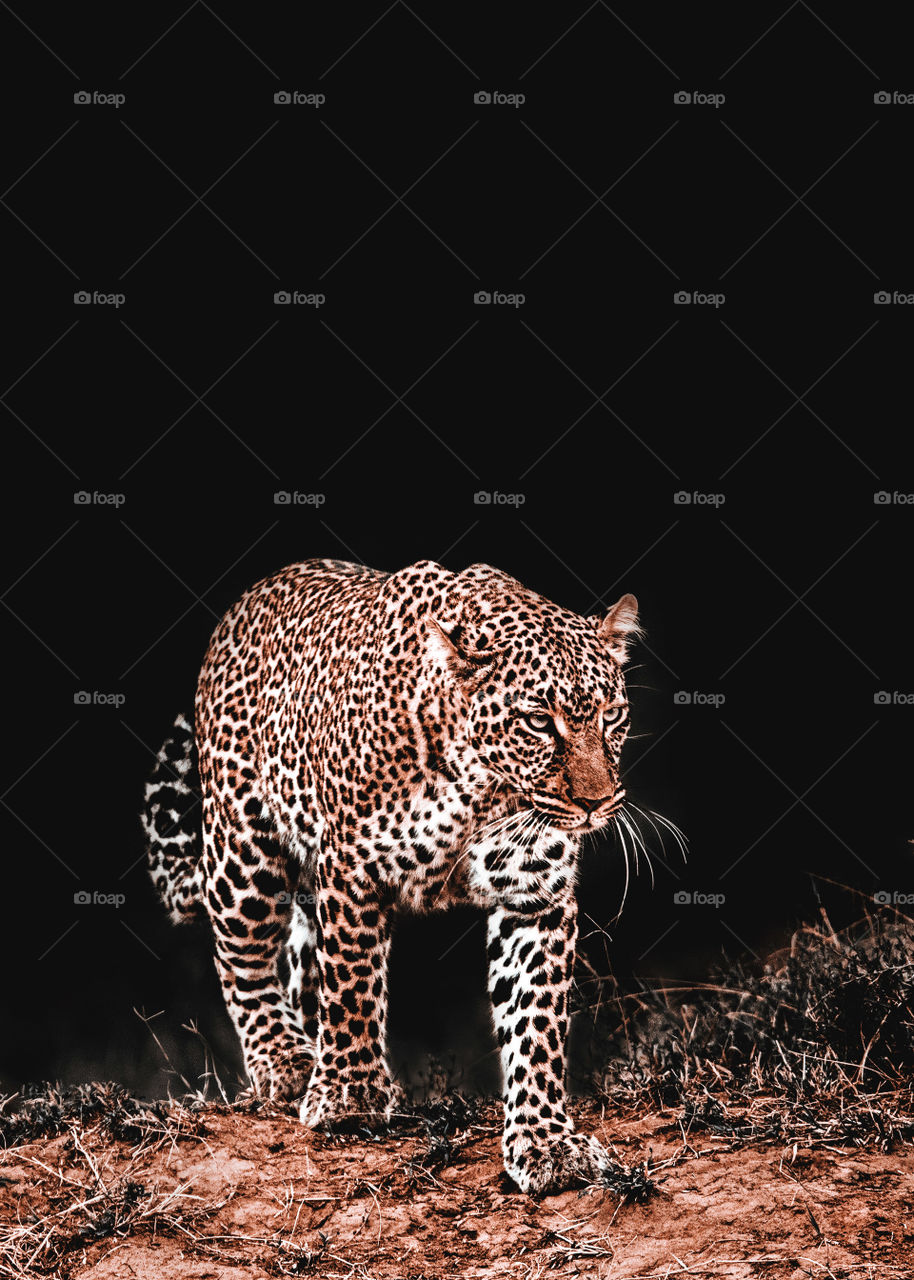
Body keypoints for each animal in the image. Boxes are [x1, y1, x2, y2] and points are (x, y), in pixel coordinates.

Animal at [143, 557, 642, 1194]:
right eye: (537, 722)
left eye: (612, 715)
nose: (597, 803)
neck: (480, 786)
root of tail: (250, 596)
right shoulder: (352, 865)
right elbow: (353, 982)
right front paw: (349, 1096)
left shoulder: (535, 888)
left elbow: (536, 1019)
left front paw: (546, 1140)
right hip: (243, 850)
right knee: (242, 958)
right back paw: (287, 1058)